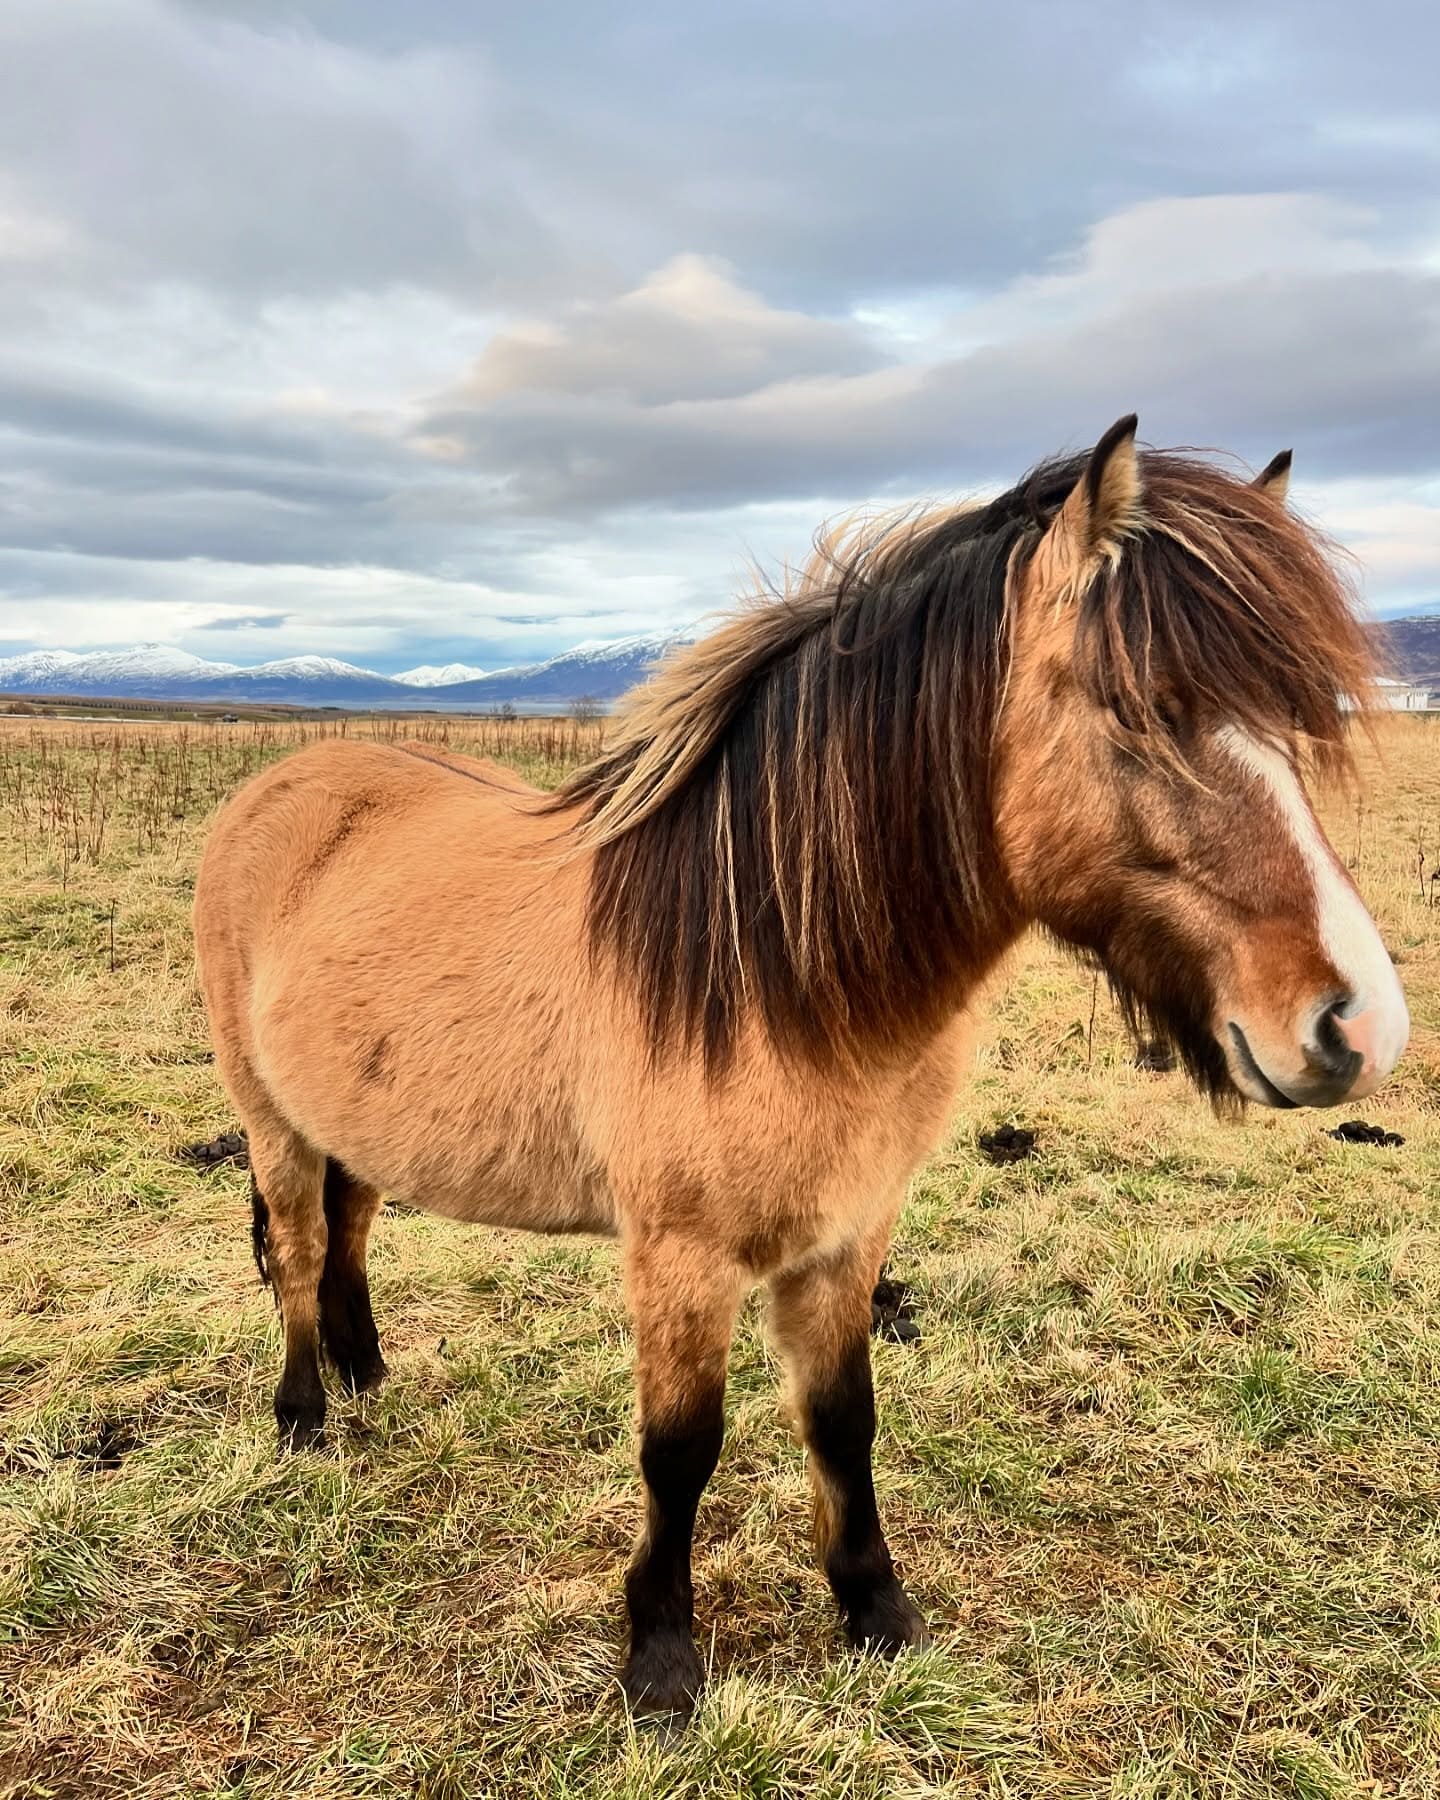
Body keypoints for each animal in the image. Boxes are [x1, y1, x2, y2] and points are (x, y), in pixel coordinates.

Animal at [193, 417, 1408, 1716]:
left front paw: (876, 1611)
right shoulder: (680, 1259)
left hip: (353, 1117)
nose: (1359, 1027)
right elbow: (680, 1452)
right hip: (268, 1114)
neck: (774, 975)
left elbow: (842, 1419)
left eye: (1298, 721)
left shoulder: (846, 1237)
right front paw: (662, 1658)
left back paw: (367, 1371)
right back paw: (306, 1416)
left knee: (351, 1227)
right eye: (1139, 710)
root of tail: (277, 785)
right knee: (300, 1245)